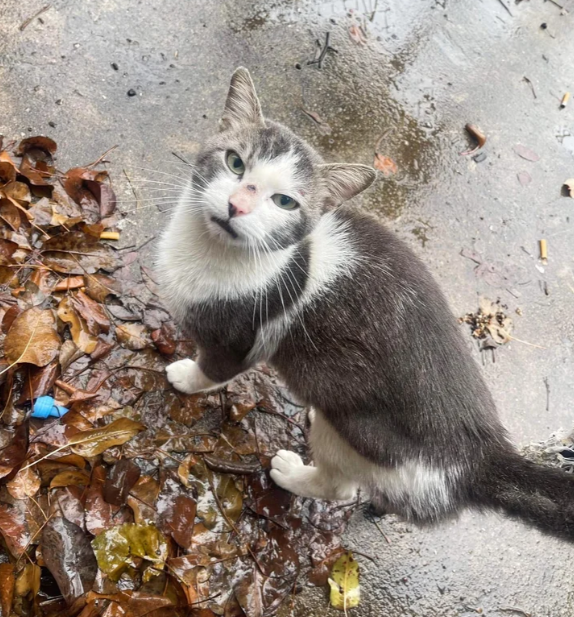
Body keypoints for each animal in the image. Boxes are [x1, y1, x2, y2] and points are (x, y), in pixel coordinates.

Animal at [158, 66, 574, 540]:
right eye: (235, 162)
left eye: (284, 202)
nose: (236, 205)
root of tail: (480, 457)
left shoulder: (242, 336)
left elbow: (215, 369)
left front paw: (185, 377)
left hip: (352, 427)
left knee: (340, 485)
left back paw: (292, 473)